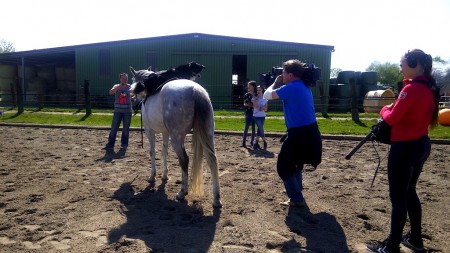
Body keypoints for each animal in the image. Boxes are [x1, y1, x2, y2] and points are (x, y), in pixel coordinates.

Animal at [129, 66, 222, 208]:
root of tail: (195, 90)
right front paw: (164, 175)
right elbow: (164, 151)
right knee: (212, 160)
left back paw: (182, 192)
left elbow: (152, 152)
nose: (134, 101)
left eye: (134, 80)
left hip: (177, 138)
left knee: (184, 160)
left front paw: (152, 176)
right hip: (208, 134)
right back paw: (216, 199)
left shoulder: (150, 131)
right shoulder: (165, 133)